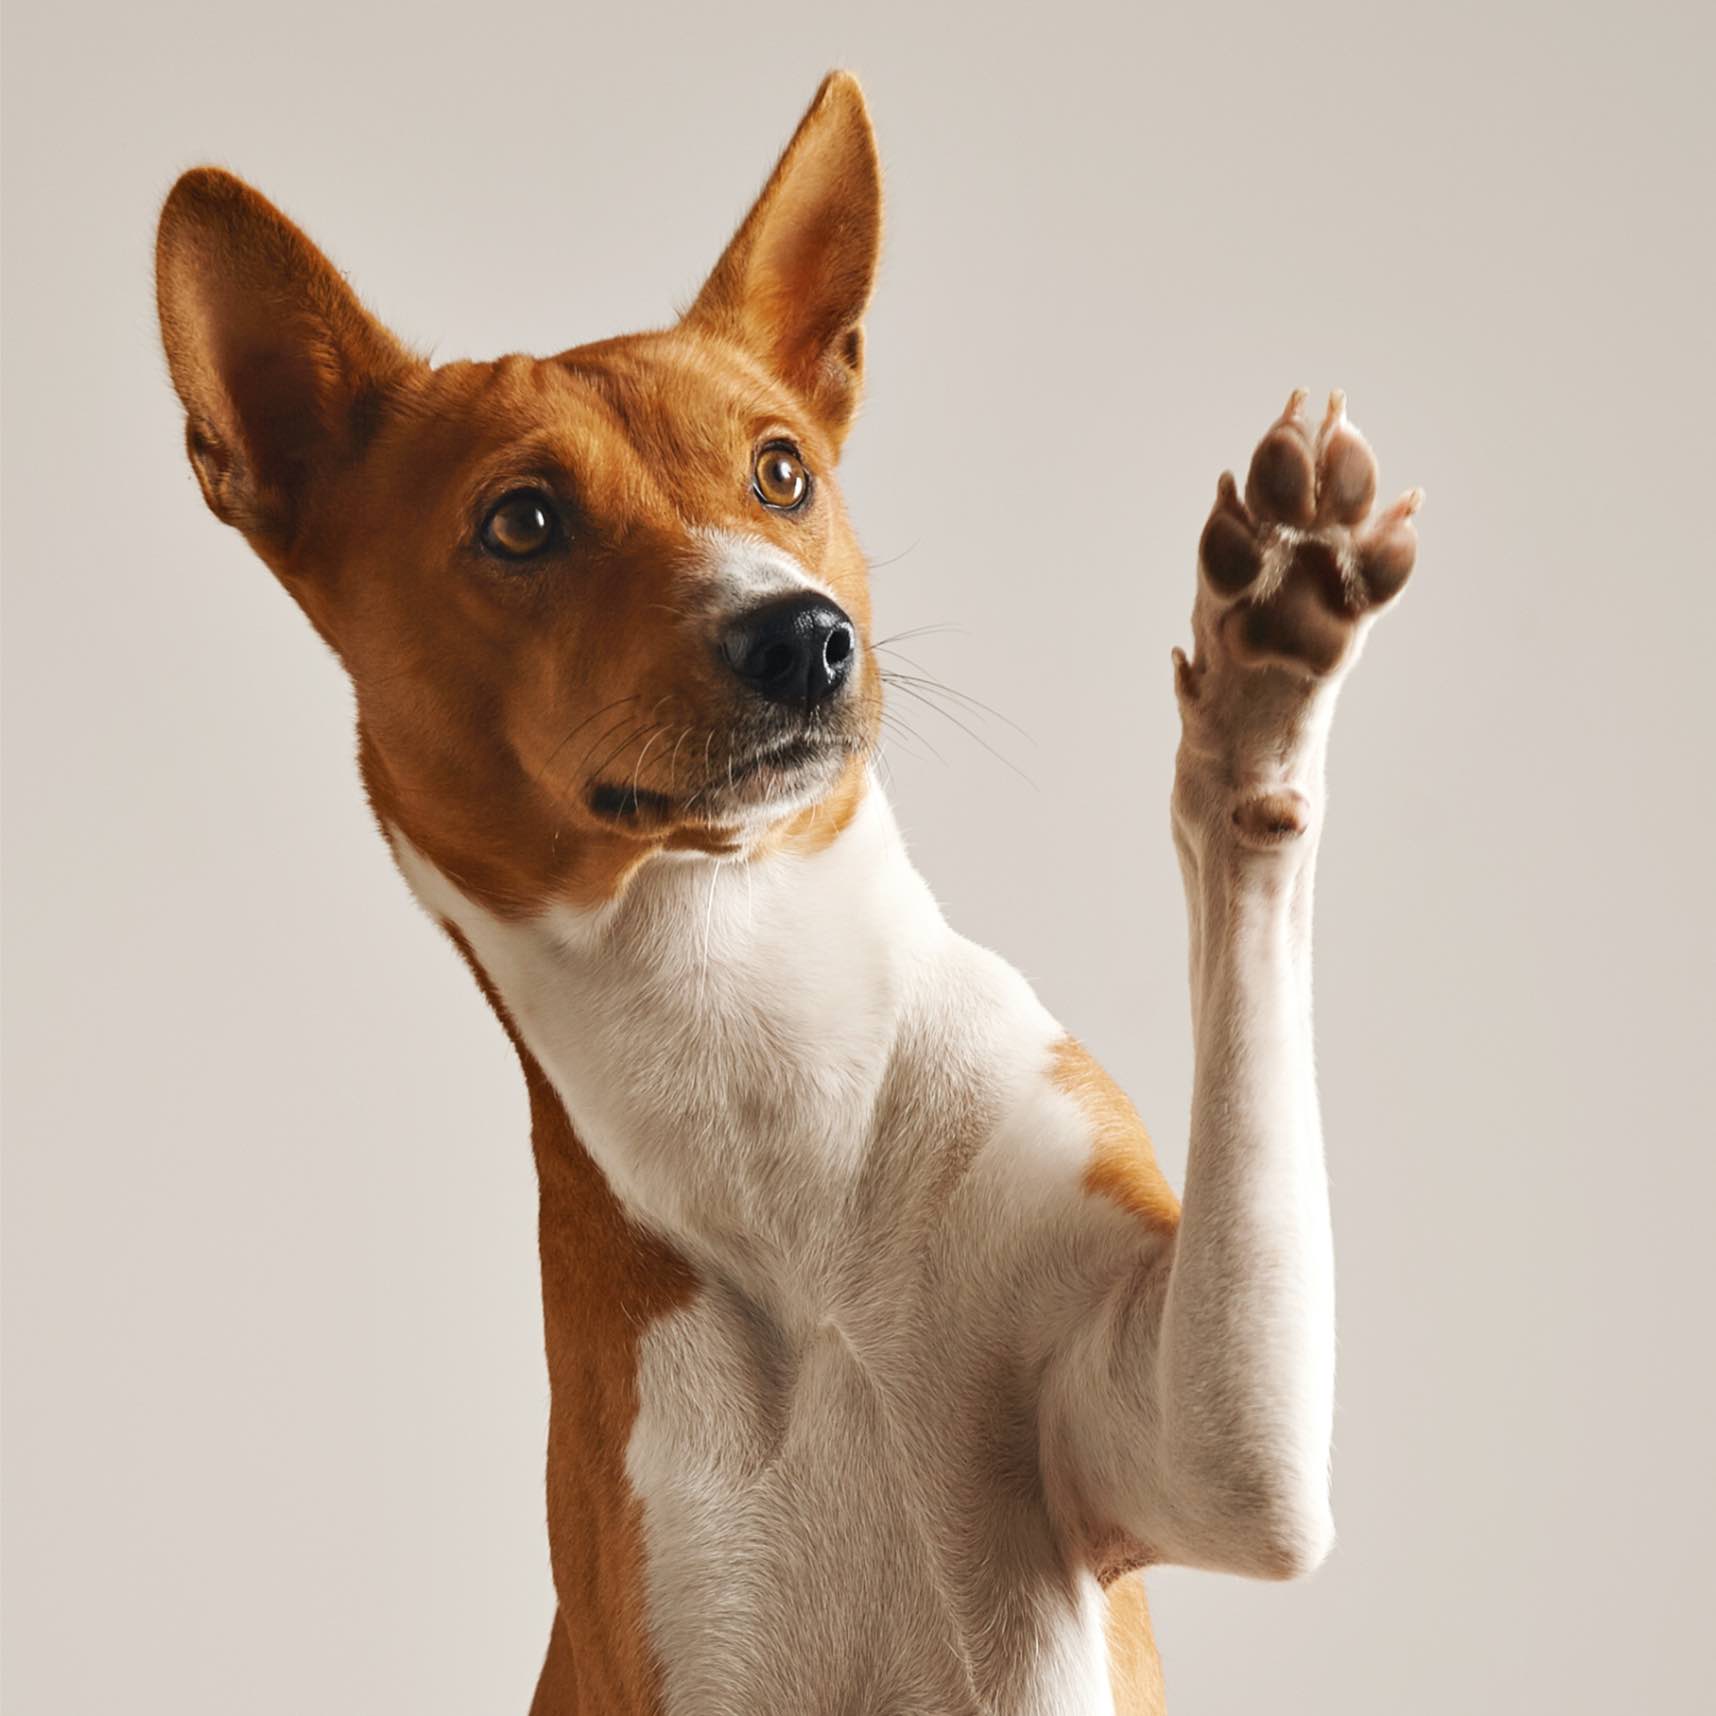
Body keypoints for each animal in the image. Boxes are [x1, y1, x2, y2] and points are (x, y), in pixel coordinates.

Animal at [157, 66, 1420, 1716]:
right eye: (522, 521)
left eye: (781, 471)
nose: (801, 635)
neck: (765, 1080)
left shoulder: (1204, 1445)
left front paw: (1271, 658)